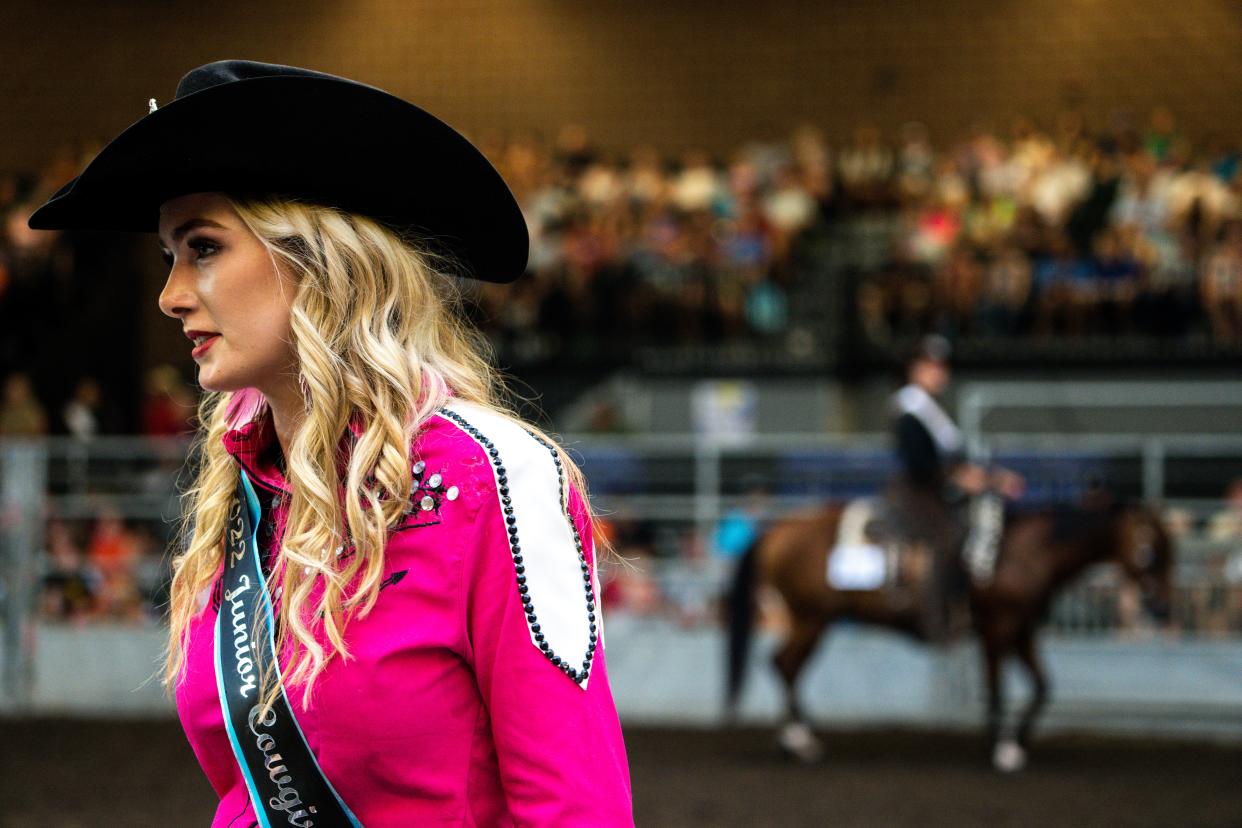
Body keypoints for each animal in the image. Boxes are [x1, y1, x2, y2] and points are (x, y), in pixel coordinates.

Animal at [725, 496, 1167, 774]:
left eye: (1169, 549)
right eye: (1150, 549)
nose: (1160, 605)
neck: (1023, 550)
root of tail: (775, 532)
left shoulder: (1022, 629)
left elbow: (1043, 687)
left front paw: (1018, 742)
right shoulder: (998, 627)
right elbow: (996, 688)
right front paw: (1002, 749)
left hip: (811, 620)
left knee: (783, 665)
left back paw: (795, 741)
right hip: (812, 618)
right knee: (786, 665)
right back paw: (801, 742)